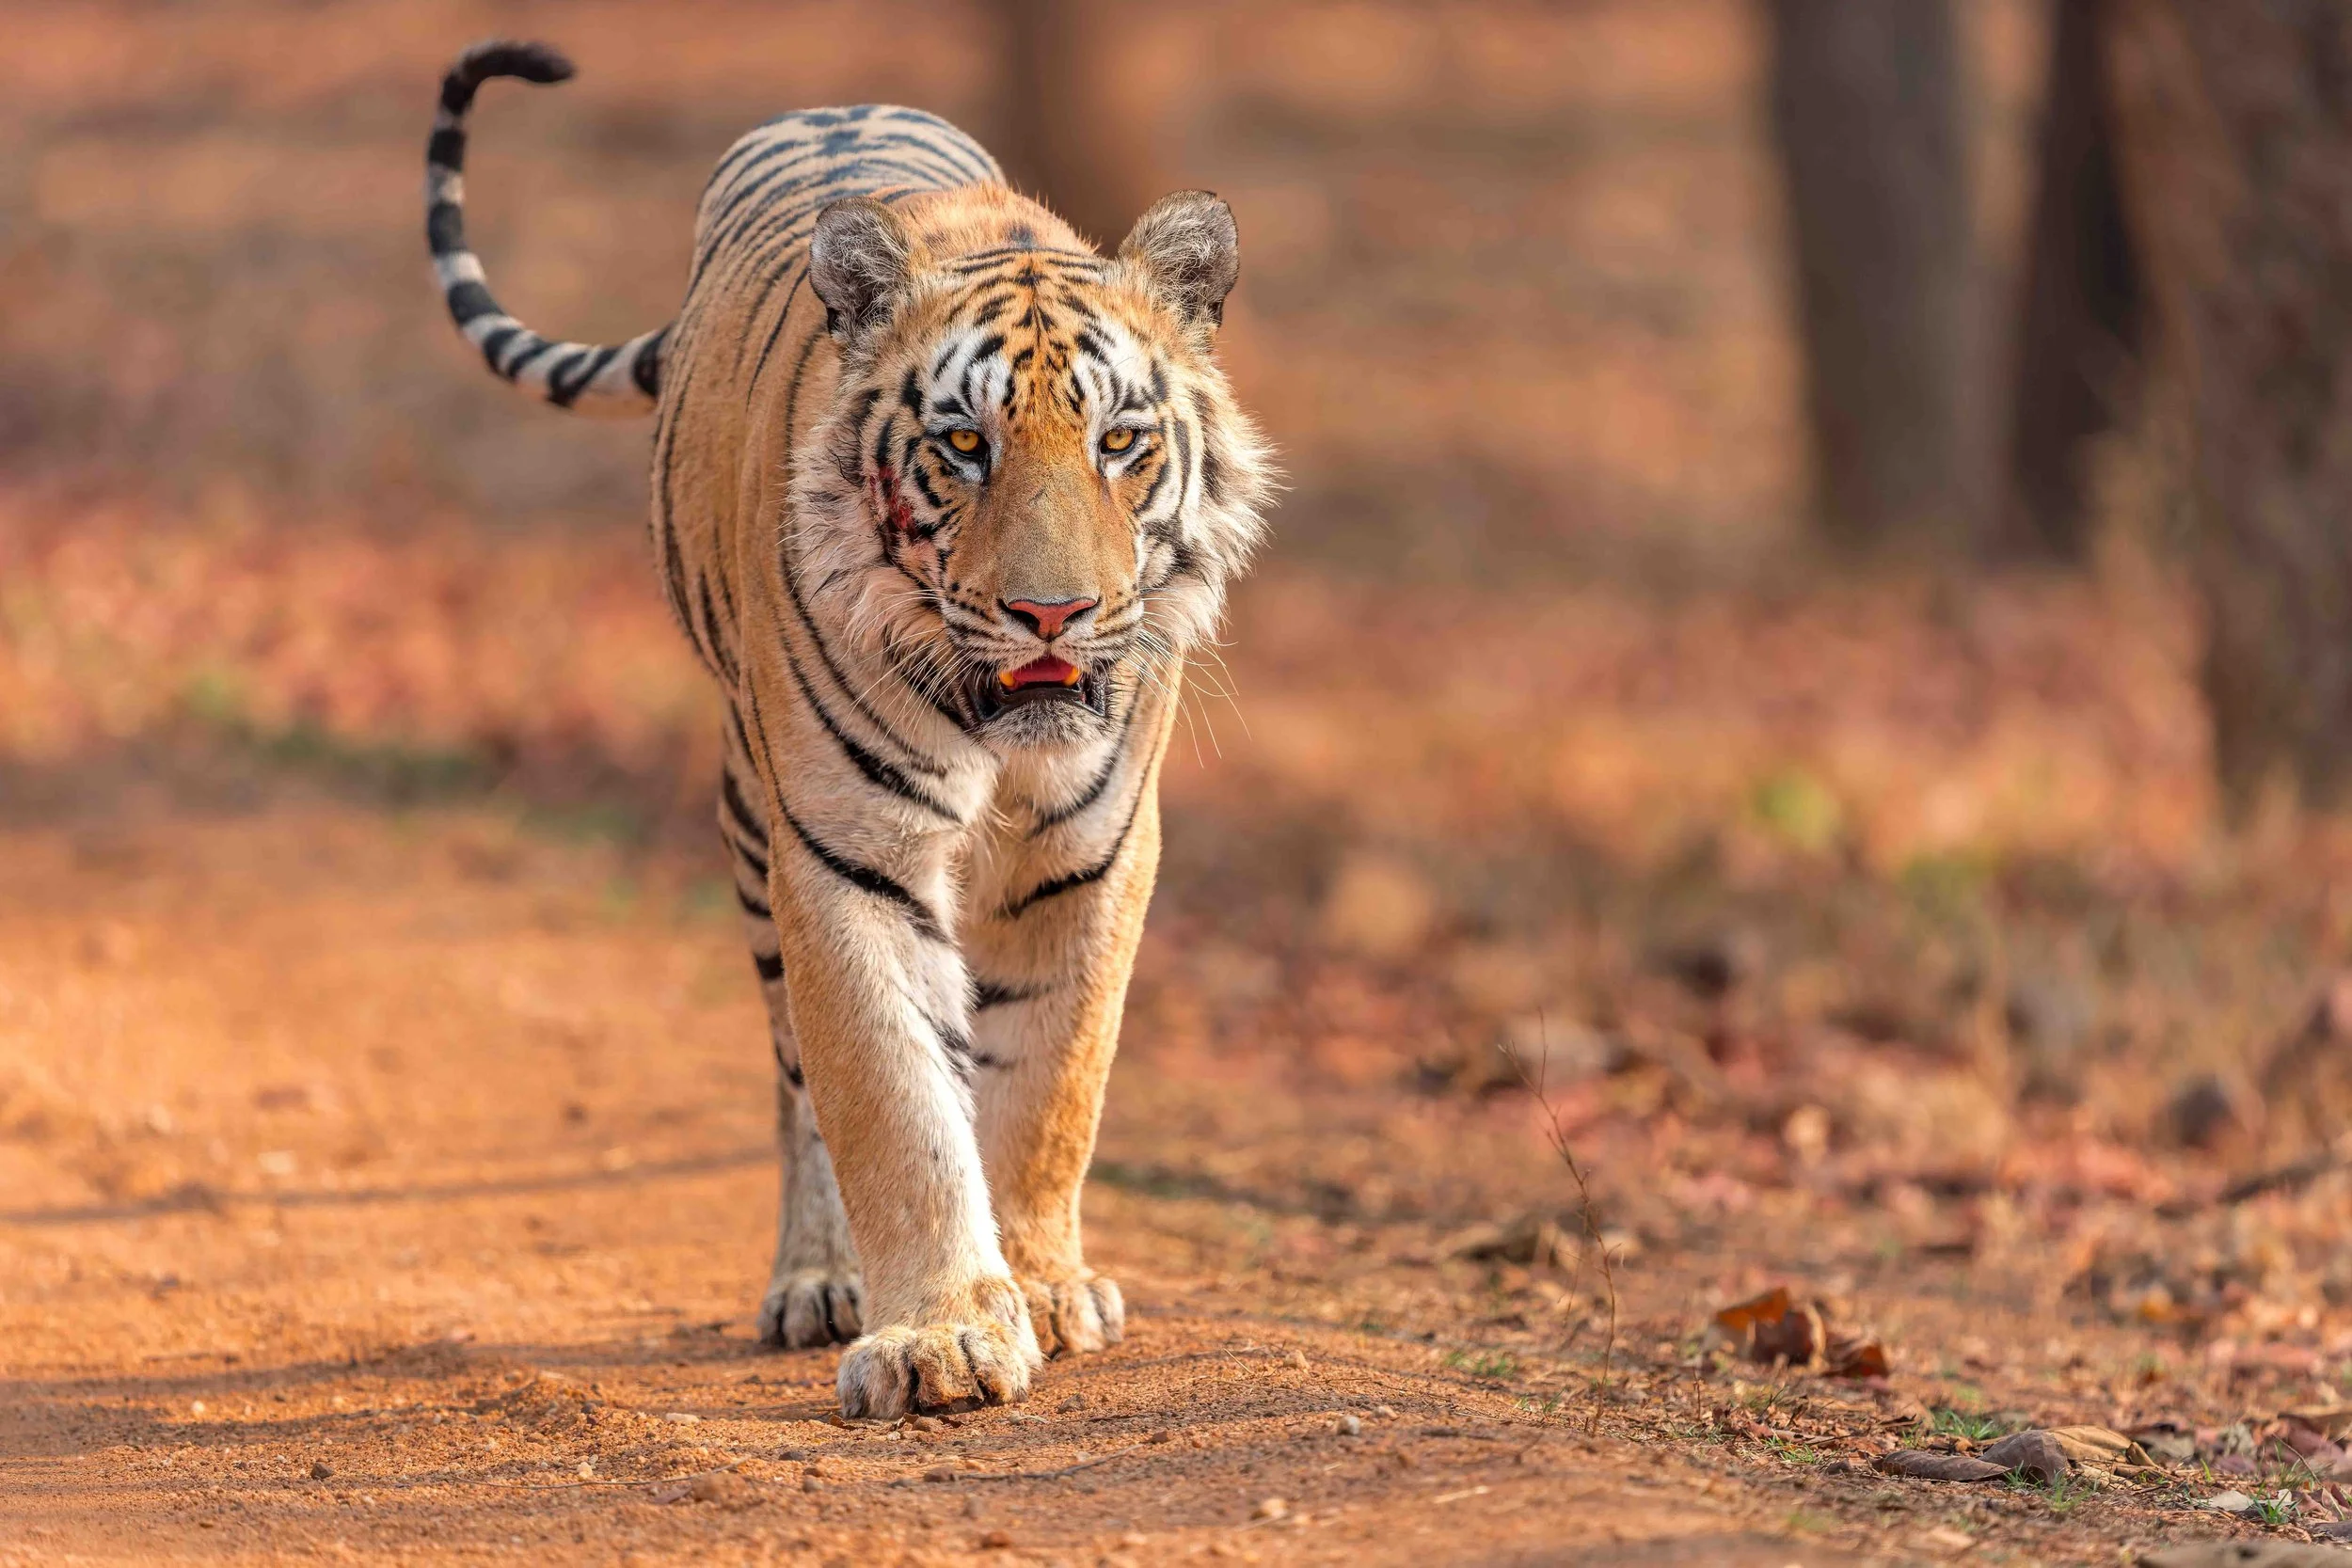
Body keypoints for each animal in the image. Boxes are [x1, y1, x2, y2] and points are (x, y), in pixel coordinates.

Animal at [423, 41, 1273, 1417]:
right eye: (964, 443)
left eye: (1119, 441)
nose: (1053, 611)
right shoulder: (844, 853)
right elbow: (891, 1103)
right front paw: (942, 1333)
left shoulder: (1092, 854)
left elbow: (1053, 1086)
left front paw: (1040, 1287)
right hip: (747, 820)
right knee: (794, 1073)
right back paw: (820, 1279)